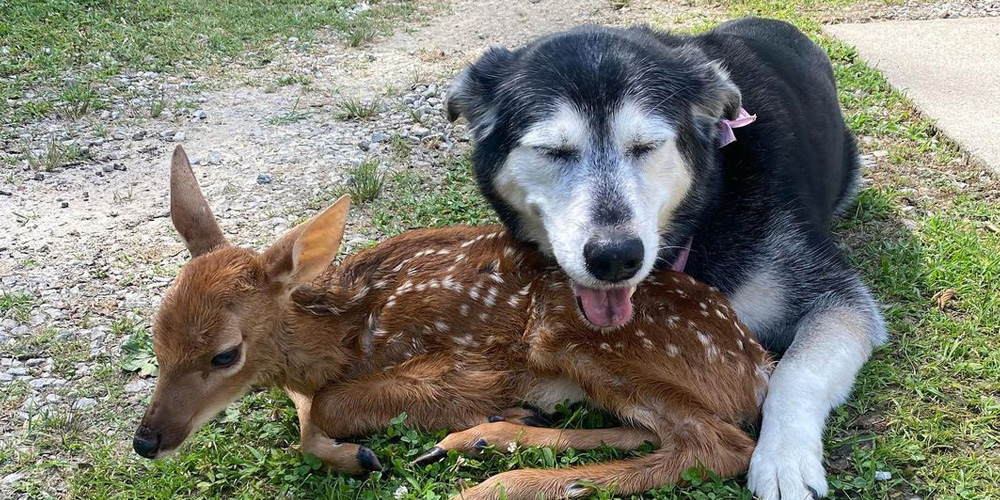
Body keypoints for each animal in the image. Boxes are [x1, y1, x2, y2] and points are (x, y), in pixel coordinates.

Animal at [450, 17, 888, 498]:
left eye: (646, 146)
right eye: (553, 151)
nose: (615, 257)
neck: (706, 209)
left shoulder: (836, 298)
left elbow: (796, 371)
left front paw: (783, 460)